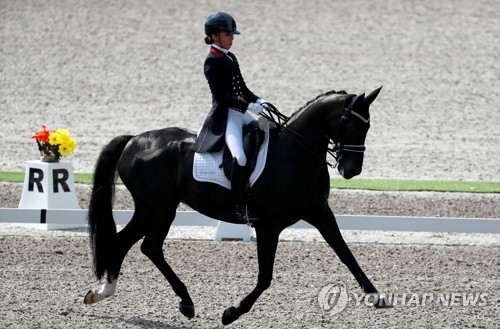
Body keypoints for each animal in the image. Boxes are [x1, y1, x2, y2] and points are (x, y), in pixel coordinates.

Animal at [83, 86, 386, 322]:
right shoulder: (268, 226)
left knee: (126, 242)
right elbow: (265, 277)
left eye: (368, 126)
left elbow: (346, 253)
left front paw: (376, 295)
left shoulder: (320, 212)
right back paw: (185, 302)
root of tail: (133, 140)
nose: (351, 170)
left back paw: (102, 292)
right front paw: (231, 313)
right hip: (160, 208)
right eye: (353, 125)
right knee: (149, 246)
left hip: (149, 209)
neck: (296, 153)